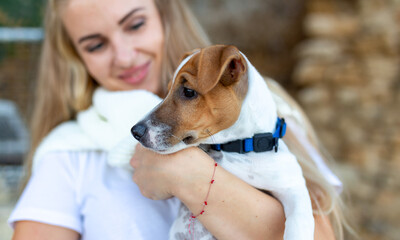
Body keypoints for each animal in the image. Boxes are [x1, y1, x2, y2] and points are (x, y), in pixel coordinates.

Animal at [133, 45, 314, 240]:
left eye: (188, 92)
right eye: (167, 91)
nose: (135, 132)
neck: (239, 147)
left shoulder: (292, 185)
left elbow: (300, 219)